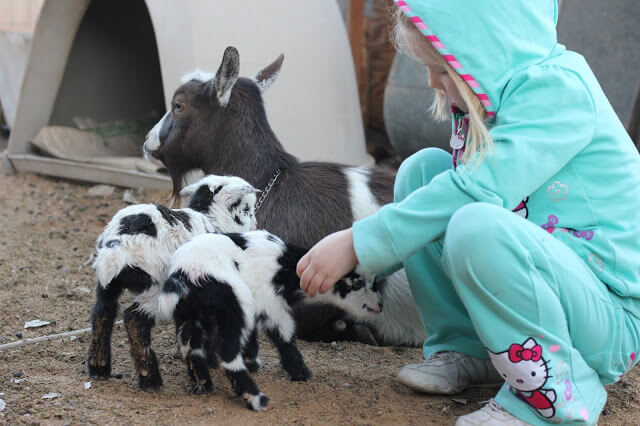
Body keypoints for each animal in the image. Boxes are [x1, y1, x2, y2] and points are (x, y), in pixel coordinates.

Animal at [87, 174, 258, 392]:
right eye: (247, 209)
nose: (255, 225)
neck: (213, 221)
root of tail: (119, 245)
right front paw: (205, 370)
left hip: (108, 283)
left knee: (103, 312)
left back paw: (98, 368)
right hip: (155, 287)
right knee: (134, 320)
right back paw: (150, 380)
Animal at [158, 231, 382, 412]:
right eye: (357, 283)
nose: (380, 305)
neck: (287, 269)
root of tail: (184, 275)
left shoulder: (257, 304)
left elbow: (252, 335)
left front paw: (252, 363)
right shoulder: (271, 304)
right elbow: (284, 335)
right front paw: (300, 372)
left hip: (188, 316)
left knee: (192, 350)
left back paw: (203, 385)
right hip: (234, 301)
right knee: (228, 354)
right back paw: (256, 399)